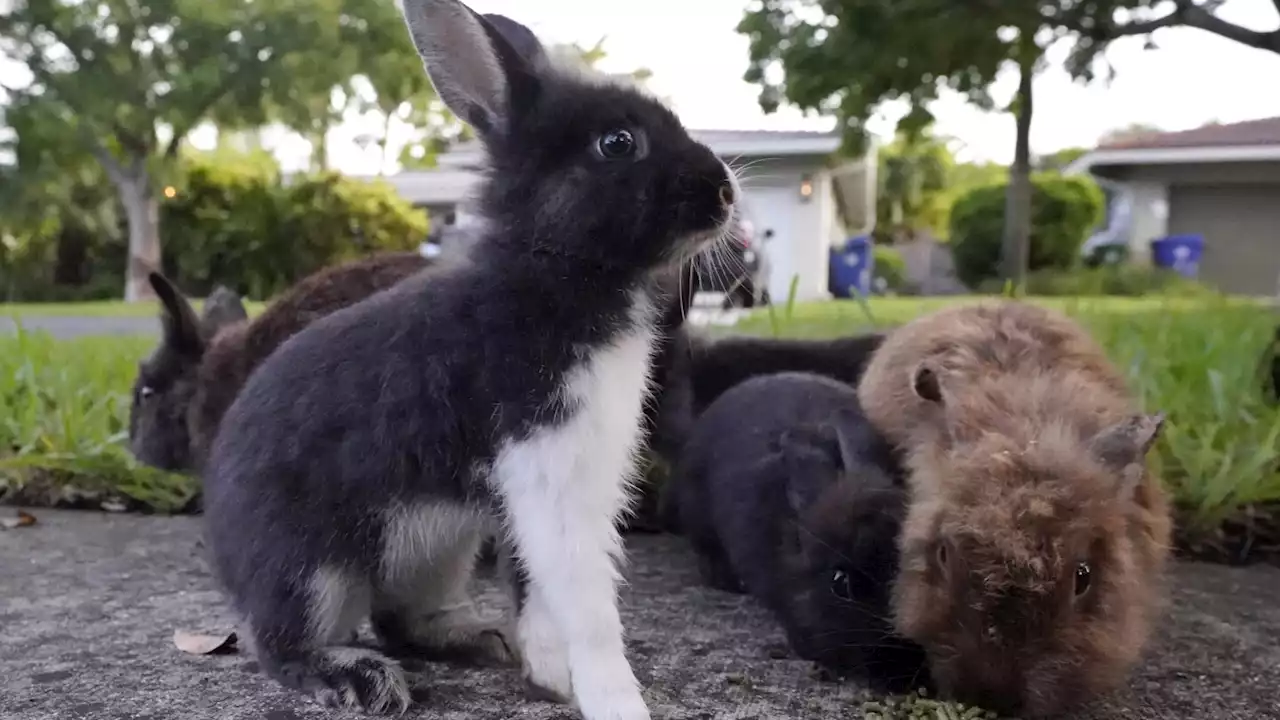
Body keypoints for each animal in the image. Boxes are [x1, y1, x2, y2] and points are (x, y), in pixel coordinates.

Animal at [199, 2, 742, 712]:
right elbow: (587, 608)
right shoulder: (548, 471)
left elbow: (537, 590)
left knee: (400, 621)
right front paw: (615, 702)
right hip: (311, 570)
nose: (726, 192)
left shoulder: (535, 492)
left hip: (438, 549)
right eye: (618, 143)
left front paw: (551, 676)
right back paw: (361, 678)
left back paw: (482, 640)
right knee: (283, 645)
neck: (555, 270)